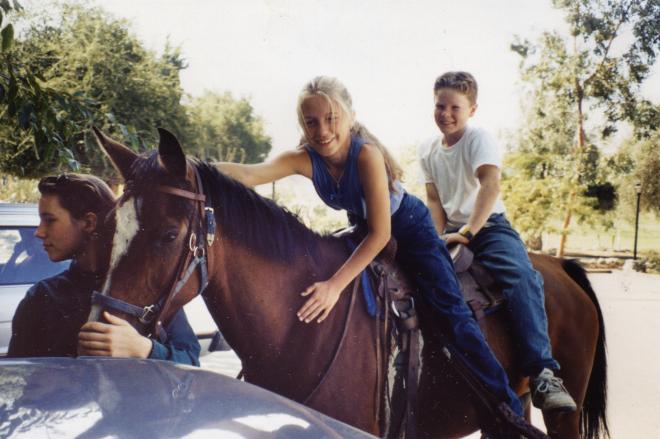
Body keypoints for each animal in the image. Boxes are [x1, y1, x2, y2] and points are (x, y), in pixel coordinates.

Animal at [89, 128, 608, 439]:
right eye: (111, 226)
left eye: (169, 235)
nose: (96, 338)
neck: (299, 332)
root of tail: (564, 268)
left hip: (561, 412)